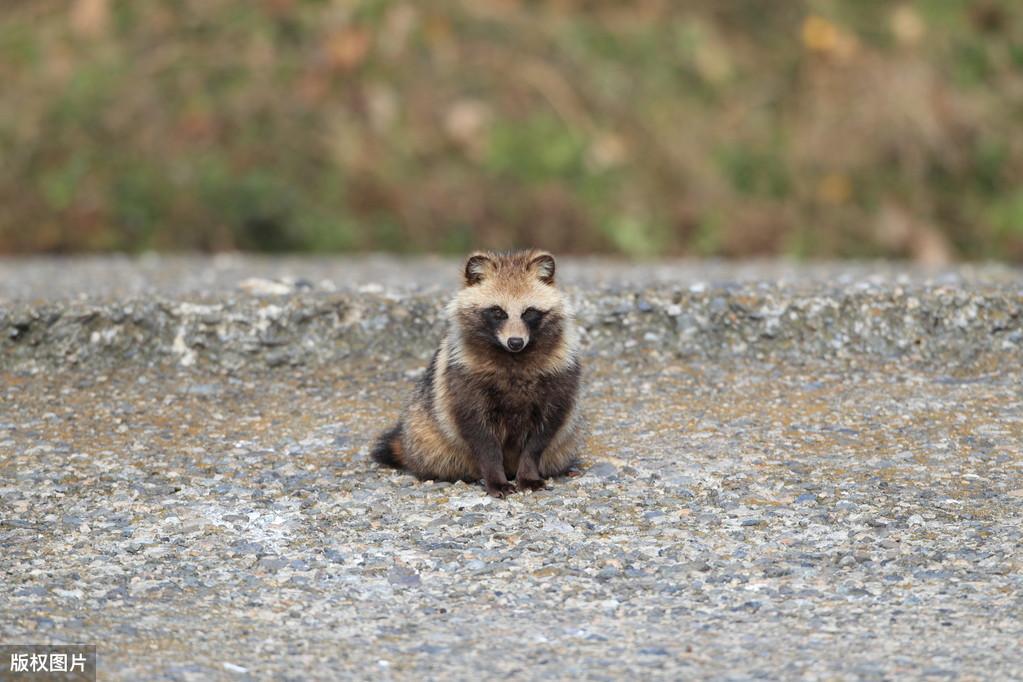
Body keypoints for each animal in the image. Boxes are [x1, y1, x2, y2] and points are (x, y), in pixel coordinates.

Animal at [374, 249, 585, 496]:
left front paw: (528, 473)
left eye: (529, 312)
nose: (515, 342)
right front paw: (495, 478)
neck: (513, 358)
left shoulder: (560, 375)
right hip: (424, 435)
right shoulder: (463, 379)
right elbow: (481, 438)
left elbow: (542, 435)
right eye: (498, 312)